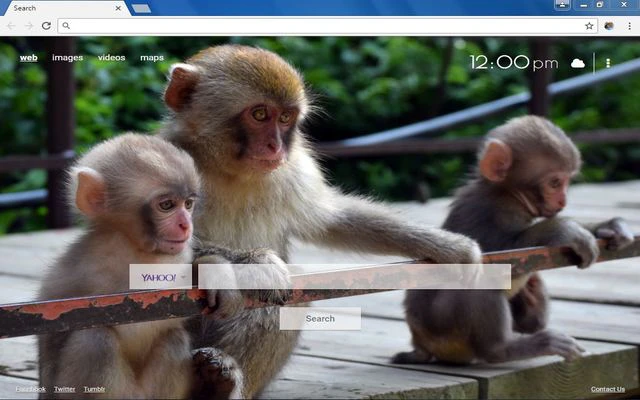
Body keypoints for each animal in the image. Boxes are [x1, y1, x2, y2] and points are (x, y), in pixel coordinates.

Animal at [37, 133, 242, 400]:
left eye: (187, 204)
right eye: (167, 205)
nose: (186, 225)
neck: (136, 251)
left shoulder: (178, 255)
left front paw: (215, 272)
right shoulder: (75, 271)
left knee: (173, 337)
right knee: (94, 339)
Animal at [158, 44, 483, 397]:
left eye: (285, 118)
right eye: (259, 115)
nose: (275, 146)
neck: (228, 171)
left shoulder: (295, 168)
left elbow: (331, 218)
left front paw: (448, 246)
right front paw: (251, 262)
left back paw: (220, 382)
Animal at [392, 115, 635, 365]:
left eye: (567, 181)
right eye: (555, 183)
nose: (563, 201)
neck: (508, 195)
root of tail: (421, 342)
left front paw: (608, 226)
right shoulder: (487, 211)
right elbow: (503, 254)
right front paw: (563, 229)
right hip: (442, 324)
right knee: (482, 275)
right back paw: (505, 348)